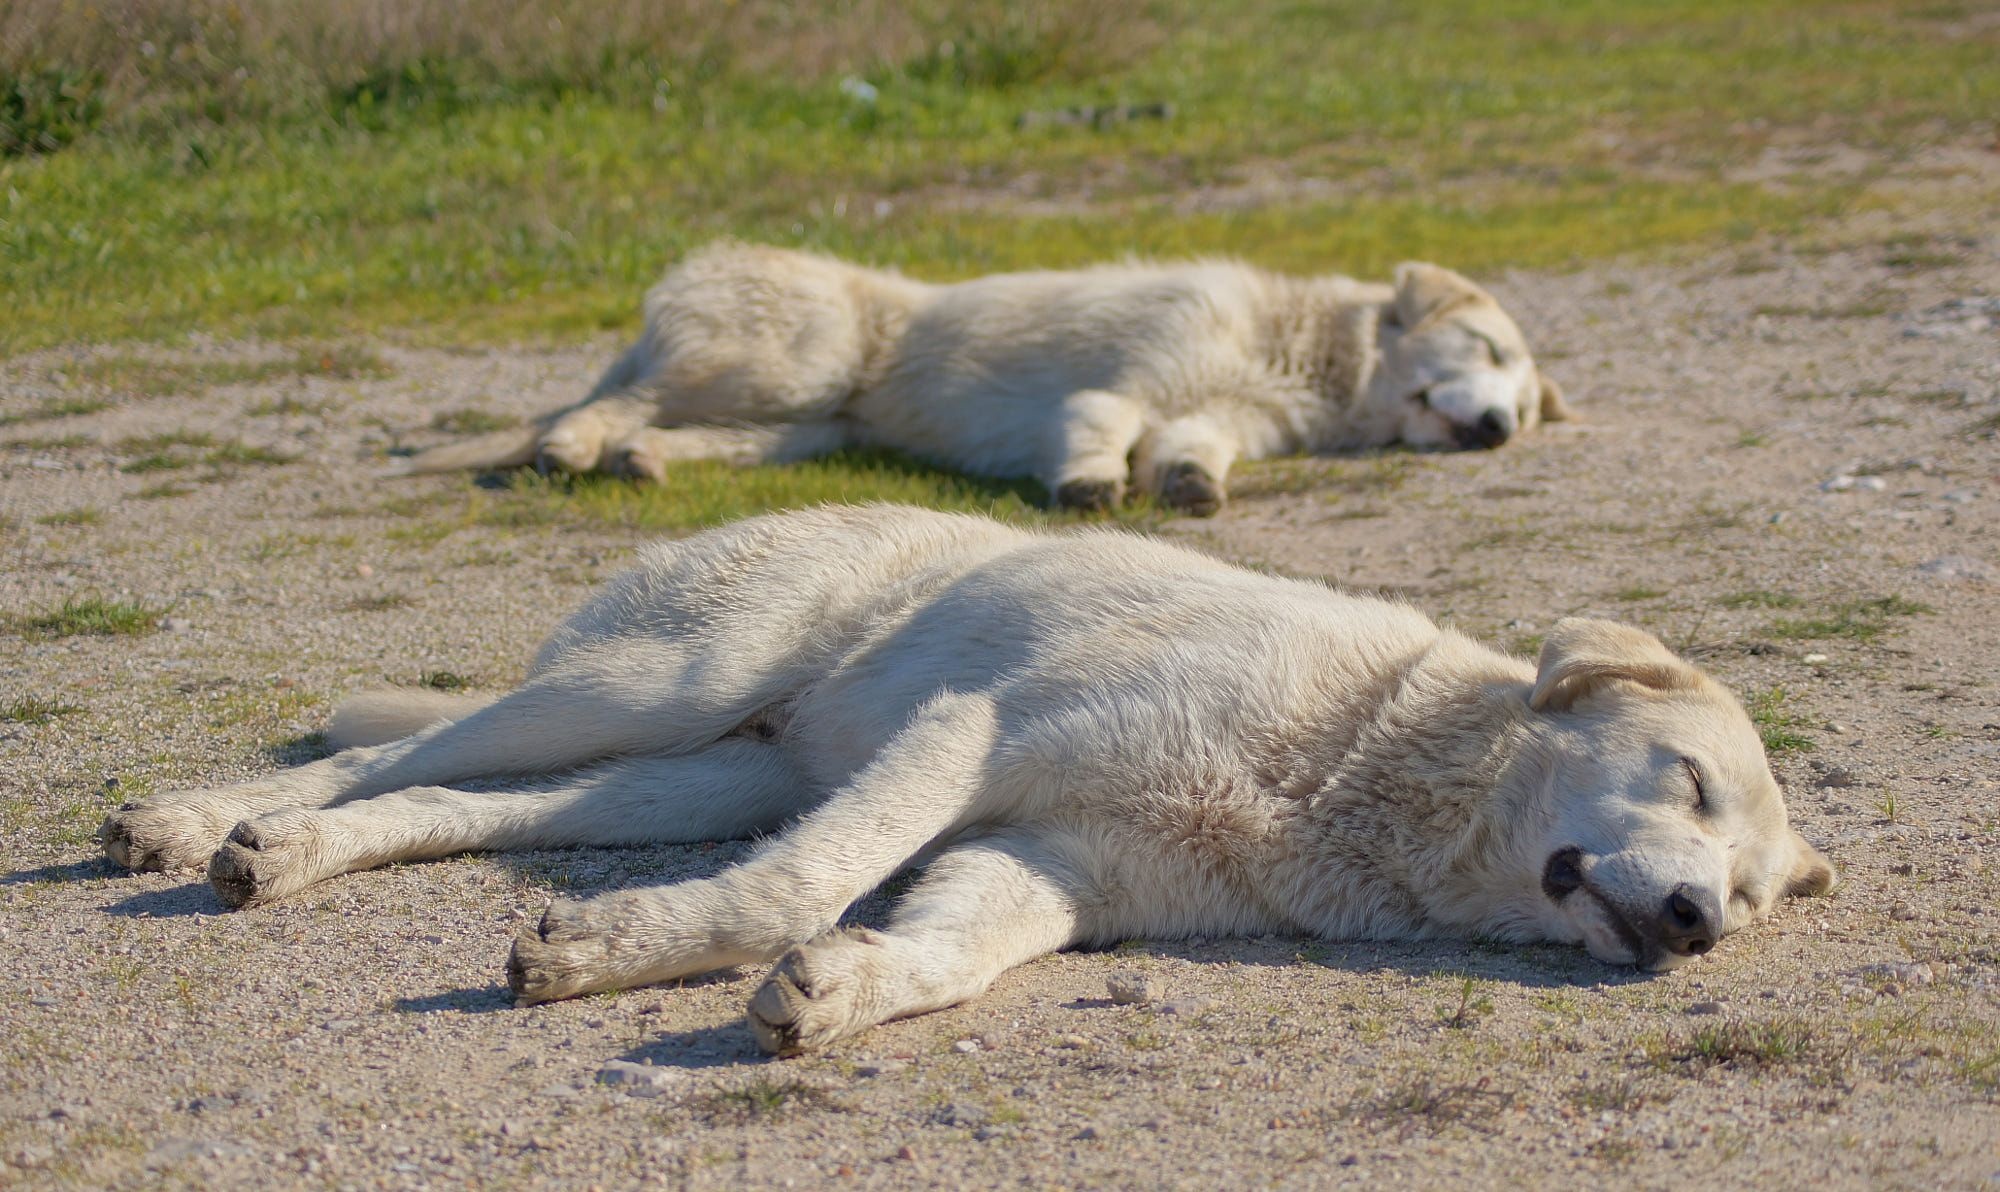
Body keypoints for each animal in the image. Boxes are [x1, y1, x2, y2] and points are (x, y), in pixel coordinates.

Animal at [101, 506, 1832, 1056]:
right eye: (1685, 780)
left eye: (1753, 904)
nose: (1695, 925)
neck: (1346, 765)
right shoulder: (973, 739)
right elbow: (804, 889)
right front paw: (650, 958)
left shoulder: (1042, 868)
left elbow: (939, 957)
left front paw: (830, 991)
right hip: (655, 682)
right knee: (394, 746)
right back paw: (184, 822)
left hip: (684, 780)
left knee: (443, 808)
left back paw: (277, 857)